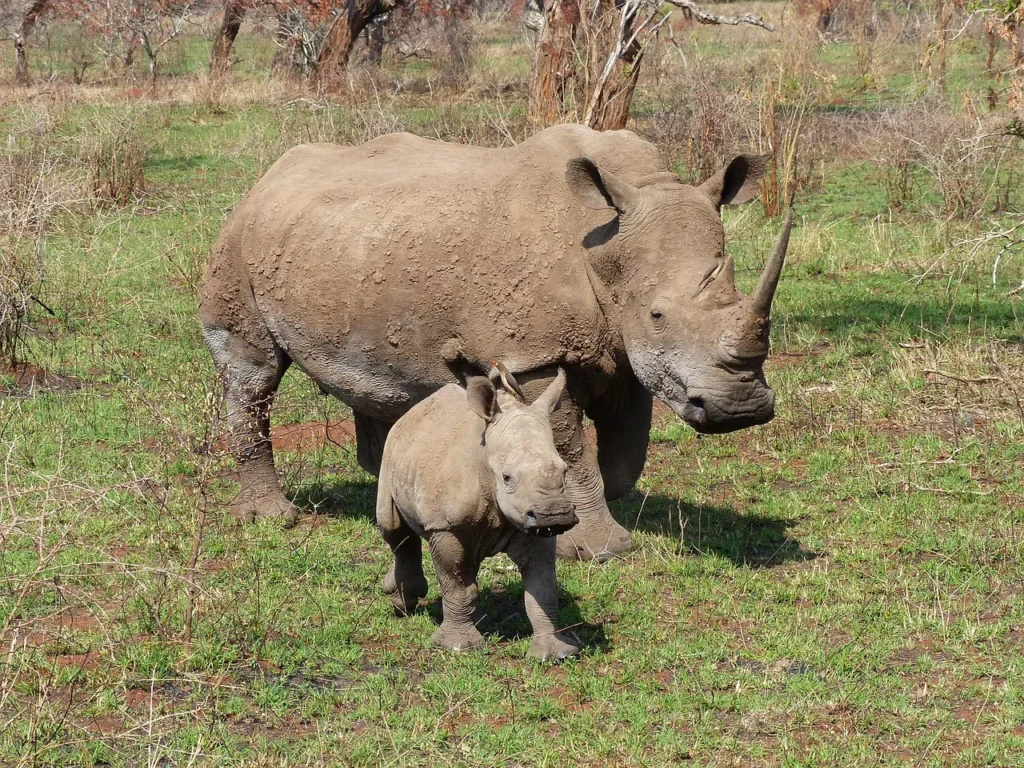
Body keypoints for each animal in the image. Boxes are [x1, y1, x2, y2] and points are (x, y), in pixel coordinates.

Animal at [198, 124, 792, 561]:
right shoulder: (535, 354)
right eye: (659, 314)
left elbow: (626, 453)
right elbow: (571, 449)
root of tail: (264, 180)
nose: (741, 408)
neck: (607, 244)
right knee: (253, 374)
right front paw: (599, 550)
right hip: (239, 245)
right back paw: (274, 518)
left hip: (343, 247)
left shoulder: (623, 352)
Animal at [377, 368, 580, 660]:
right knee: (393, 530)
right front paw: (457, 646)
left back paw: (477, 619)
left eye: (565, 470)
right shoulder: (444, 526)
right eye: (506, 477)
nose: (555, 515)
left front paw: (555, 653)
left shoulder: (533, 523)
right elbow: (455, 583)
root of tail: (413, 411)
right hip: (390, 453)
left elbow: (543, 588)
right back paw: (403, 605)